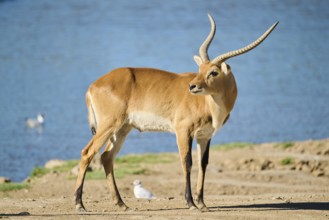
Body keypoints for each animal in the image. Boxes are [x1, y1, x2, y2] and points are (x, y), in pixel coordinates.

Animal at [74, 14, 276, 211]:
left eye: (213, 72)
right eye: (200, 69)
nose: (192, 86)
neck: (209, 104)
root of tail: (93, 86)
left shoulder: (205, 136)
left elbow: (203, 164)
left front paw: (202, 203)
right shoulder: (183, 131)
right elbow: (187, 162)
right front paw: (191, 203)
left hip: (122, 129)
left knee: (106, 157)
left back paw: (122, 205)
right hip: (108, 126)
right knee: (87, 152)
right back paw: (79, 204)